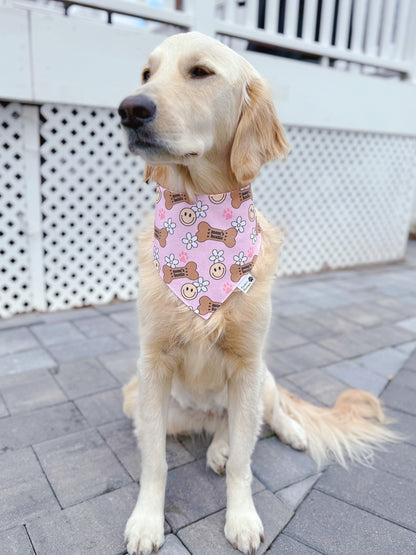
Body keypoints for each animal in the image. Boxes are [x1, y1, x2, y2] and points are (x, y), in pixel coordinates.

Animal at [118, 31, 394, 555]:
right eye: (146, 74)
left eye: (200, 72)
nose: (129, 108)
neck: (202, 221)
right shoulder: (151, 364)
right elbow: (154, 462)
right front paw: (146, 521)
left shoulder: (247, 363)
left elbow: (246, 464)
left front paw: (242, 518)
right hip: (141, 398)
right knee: (219, 426)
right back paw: (219, 444)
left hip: (260, 376)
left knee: (270, 410)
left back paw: (283, 434)